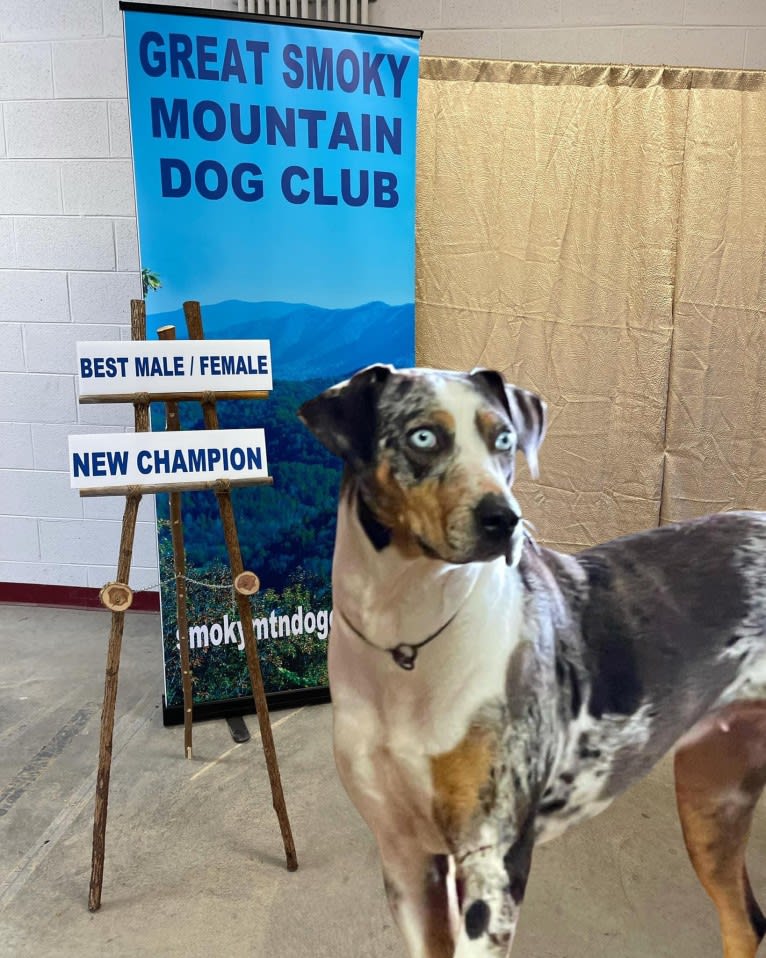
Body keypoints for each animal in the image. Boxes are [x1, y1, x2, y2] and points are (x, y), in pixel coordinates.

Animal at [298, 368, 766, 958]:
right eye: (423, 437)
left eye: (504, 439)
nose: (505, 520)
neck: (404, 637)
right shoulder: (405, 860)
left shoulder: (493, 860)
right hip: (711, 802)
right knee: (743, 923)